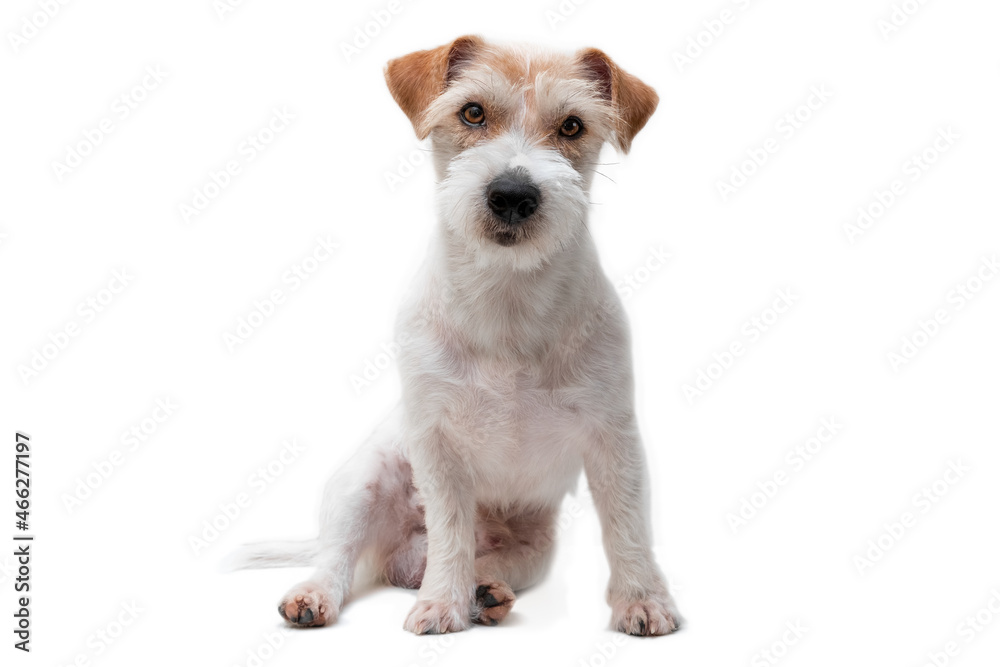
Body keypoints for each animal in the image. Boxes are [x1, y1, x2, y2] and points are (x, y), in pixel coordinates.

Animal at [229, 35, 680, 636]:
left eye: (572, 126)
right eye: (472, 112)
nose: (512, 194)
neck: (507, 302)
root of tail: (400, 558)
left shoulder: (614, 437)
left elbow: (627, 525)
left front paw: (642, 599)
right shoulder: (437, 443)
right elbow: (449, 533)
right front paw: (441, 603)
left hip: (533, 548)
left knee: (489, 559)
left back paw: (487, 592)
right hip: (359, 486)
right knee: (338, 557)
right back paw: (317, 594)